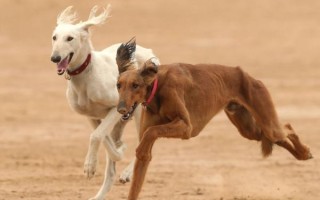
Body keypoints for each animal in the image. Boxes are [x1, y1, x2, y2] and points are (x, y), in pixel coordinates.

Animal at [50, 5, 158, 200]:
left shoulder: (116, 107)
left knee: (144, 146)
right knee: (112, 170)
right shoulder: (91, 116)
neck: (86, 76)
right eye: (54, 37)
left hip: (141, 114)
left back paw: (127, 174)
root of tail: (149, 53)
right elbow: (102, 138)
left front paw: (89, 167)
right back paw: (100, 194)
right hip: (121, 123)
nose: (55, 58)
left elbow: (96, 136)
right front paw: (117, 151)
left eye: (70, 38)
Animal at [115, 38, 312, 199]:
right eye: (118, 85)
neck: (157, 87)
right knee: (277, 135)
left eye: (135, 85)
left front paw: (141, 149)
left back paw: (304, 151)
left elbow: (152, 131)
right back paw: (302, 154)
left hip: (266, 120)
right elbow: (139, 174)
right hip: (248, 128)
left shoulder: (186, 127)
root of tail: (246, 75)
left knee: (286, 128)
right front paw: (141, 155)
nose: (121, 108)